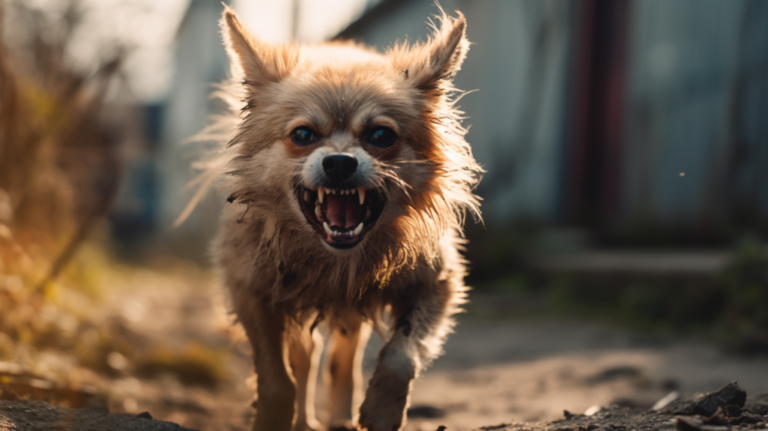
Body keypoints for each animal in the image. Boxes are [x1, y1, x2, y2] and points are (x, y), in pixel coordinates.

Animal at [207, 4, 484, 431]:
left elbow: (402, 355)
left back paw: (339, 417)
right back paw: (305, 420)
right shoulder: (251, 294)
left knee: (343, 357)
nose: (339, 162)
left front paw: (382, 410)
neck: (335, 263)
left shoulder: (438, 285)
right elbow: (276, 377)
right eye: (302, 135)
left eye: (381, 135)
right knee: (306, 358)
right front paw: (273, 418)